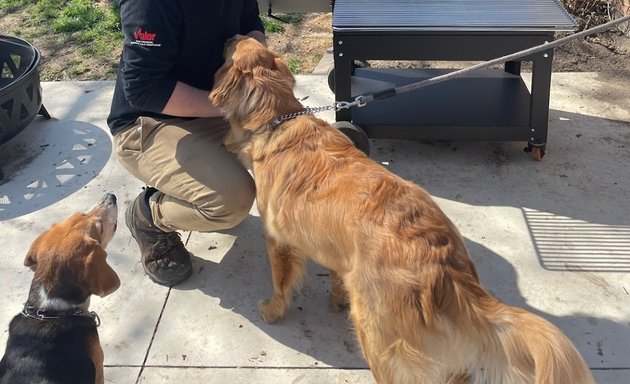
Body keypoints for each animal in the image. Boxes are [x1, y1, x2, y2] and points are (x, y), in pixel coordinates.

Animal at [211, 38, 596, 384]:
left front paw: (273, 310)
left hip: (378, 339)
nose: (229, 36)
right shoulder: (335, 248)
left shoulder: (278, 241)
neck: (279, 118)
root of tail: (444, 267)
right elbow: (335, 275)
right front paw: (336, 299)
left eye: (232, 49)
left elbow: (281, 282)